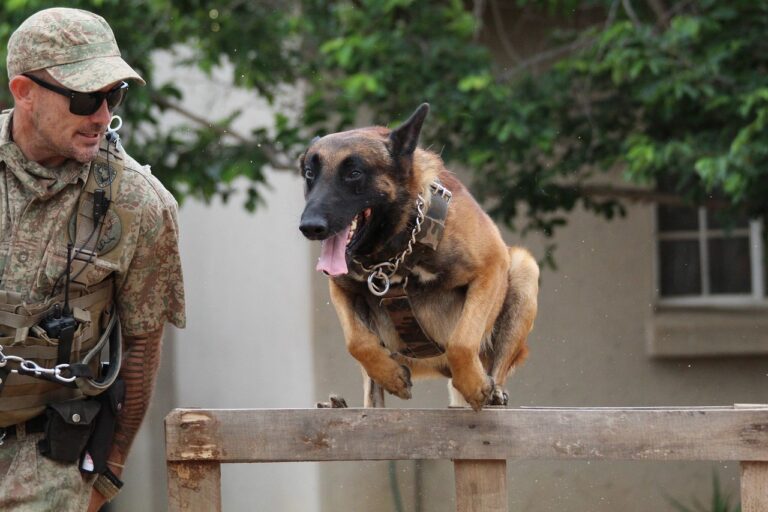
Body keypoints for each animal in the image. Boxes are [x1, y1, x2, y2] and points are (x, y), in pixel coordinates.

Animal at [296, 104, 536, 412]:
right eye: (309, 173)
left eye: (354, 173)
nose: (309, 227)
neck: (392, 254)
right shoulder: (341, 288)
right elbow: (357, 341)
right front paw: (391, 375)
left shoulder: (491, 268)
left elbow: (462, 340)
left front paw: (474, 385)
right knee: (372, 396)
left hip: (523, 268)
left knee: (497, 366)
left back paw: (493, 392)